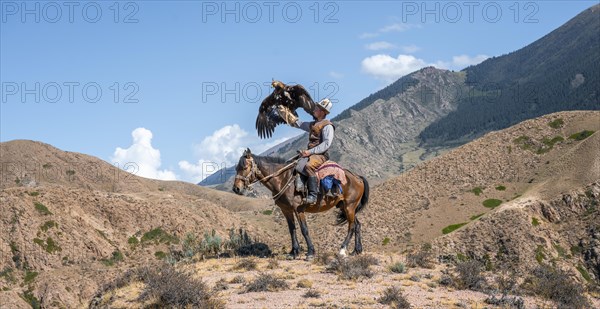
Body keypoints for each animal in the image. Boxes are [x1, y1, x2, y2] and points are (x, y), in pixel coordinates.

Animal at [232, 148, 368, 258]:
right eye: (236, 168)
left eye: (244, 168)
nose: (236, 189)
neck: (282, 179)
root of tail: (358, 177)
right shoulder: (286, 210)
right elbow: (292, 229)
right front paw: (294, 252)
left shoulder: (298, 209)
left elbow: (304, 229)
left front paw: (310, 252)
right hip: (345, 207)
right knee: (357, 225)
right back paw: (356, 251)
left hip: (349, 206)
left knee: (351, 226)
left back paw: (342, 250)